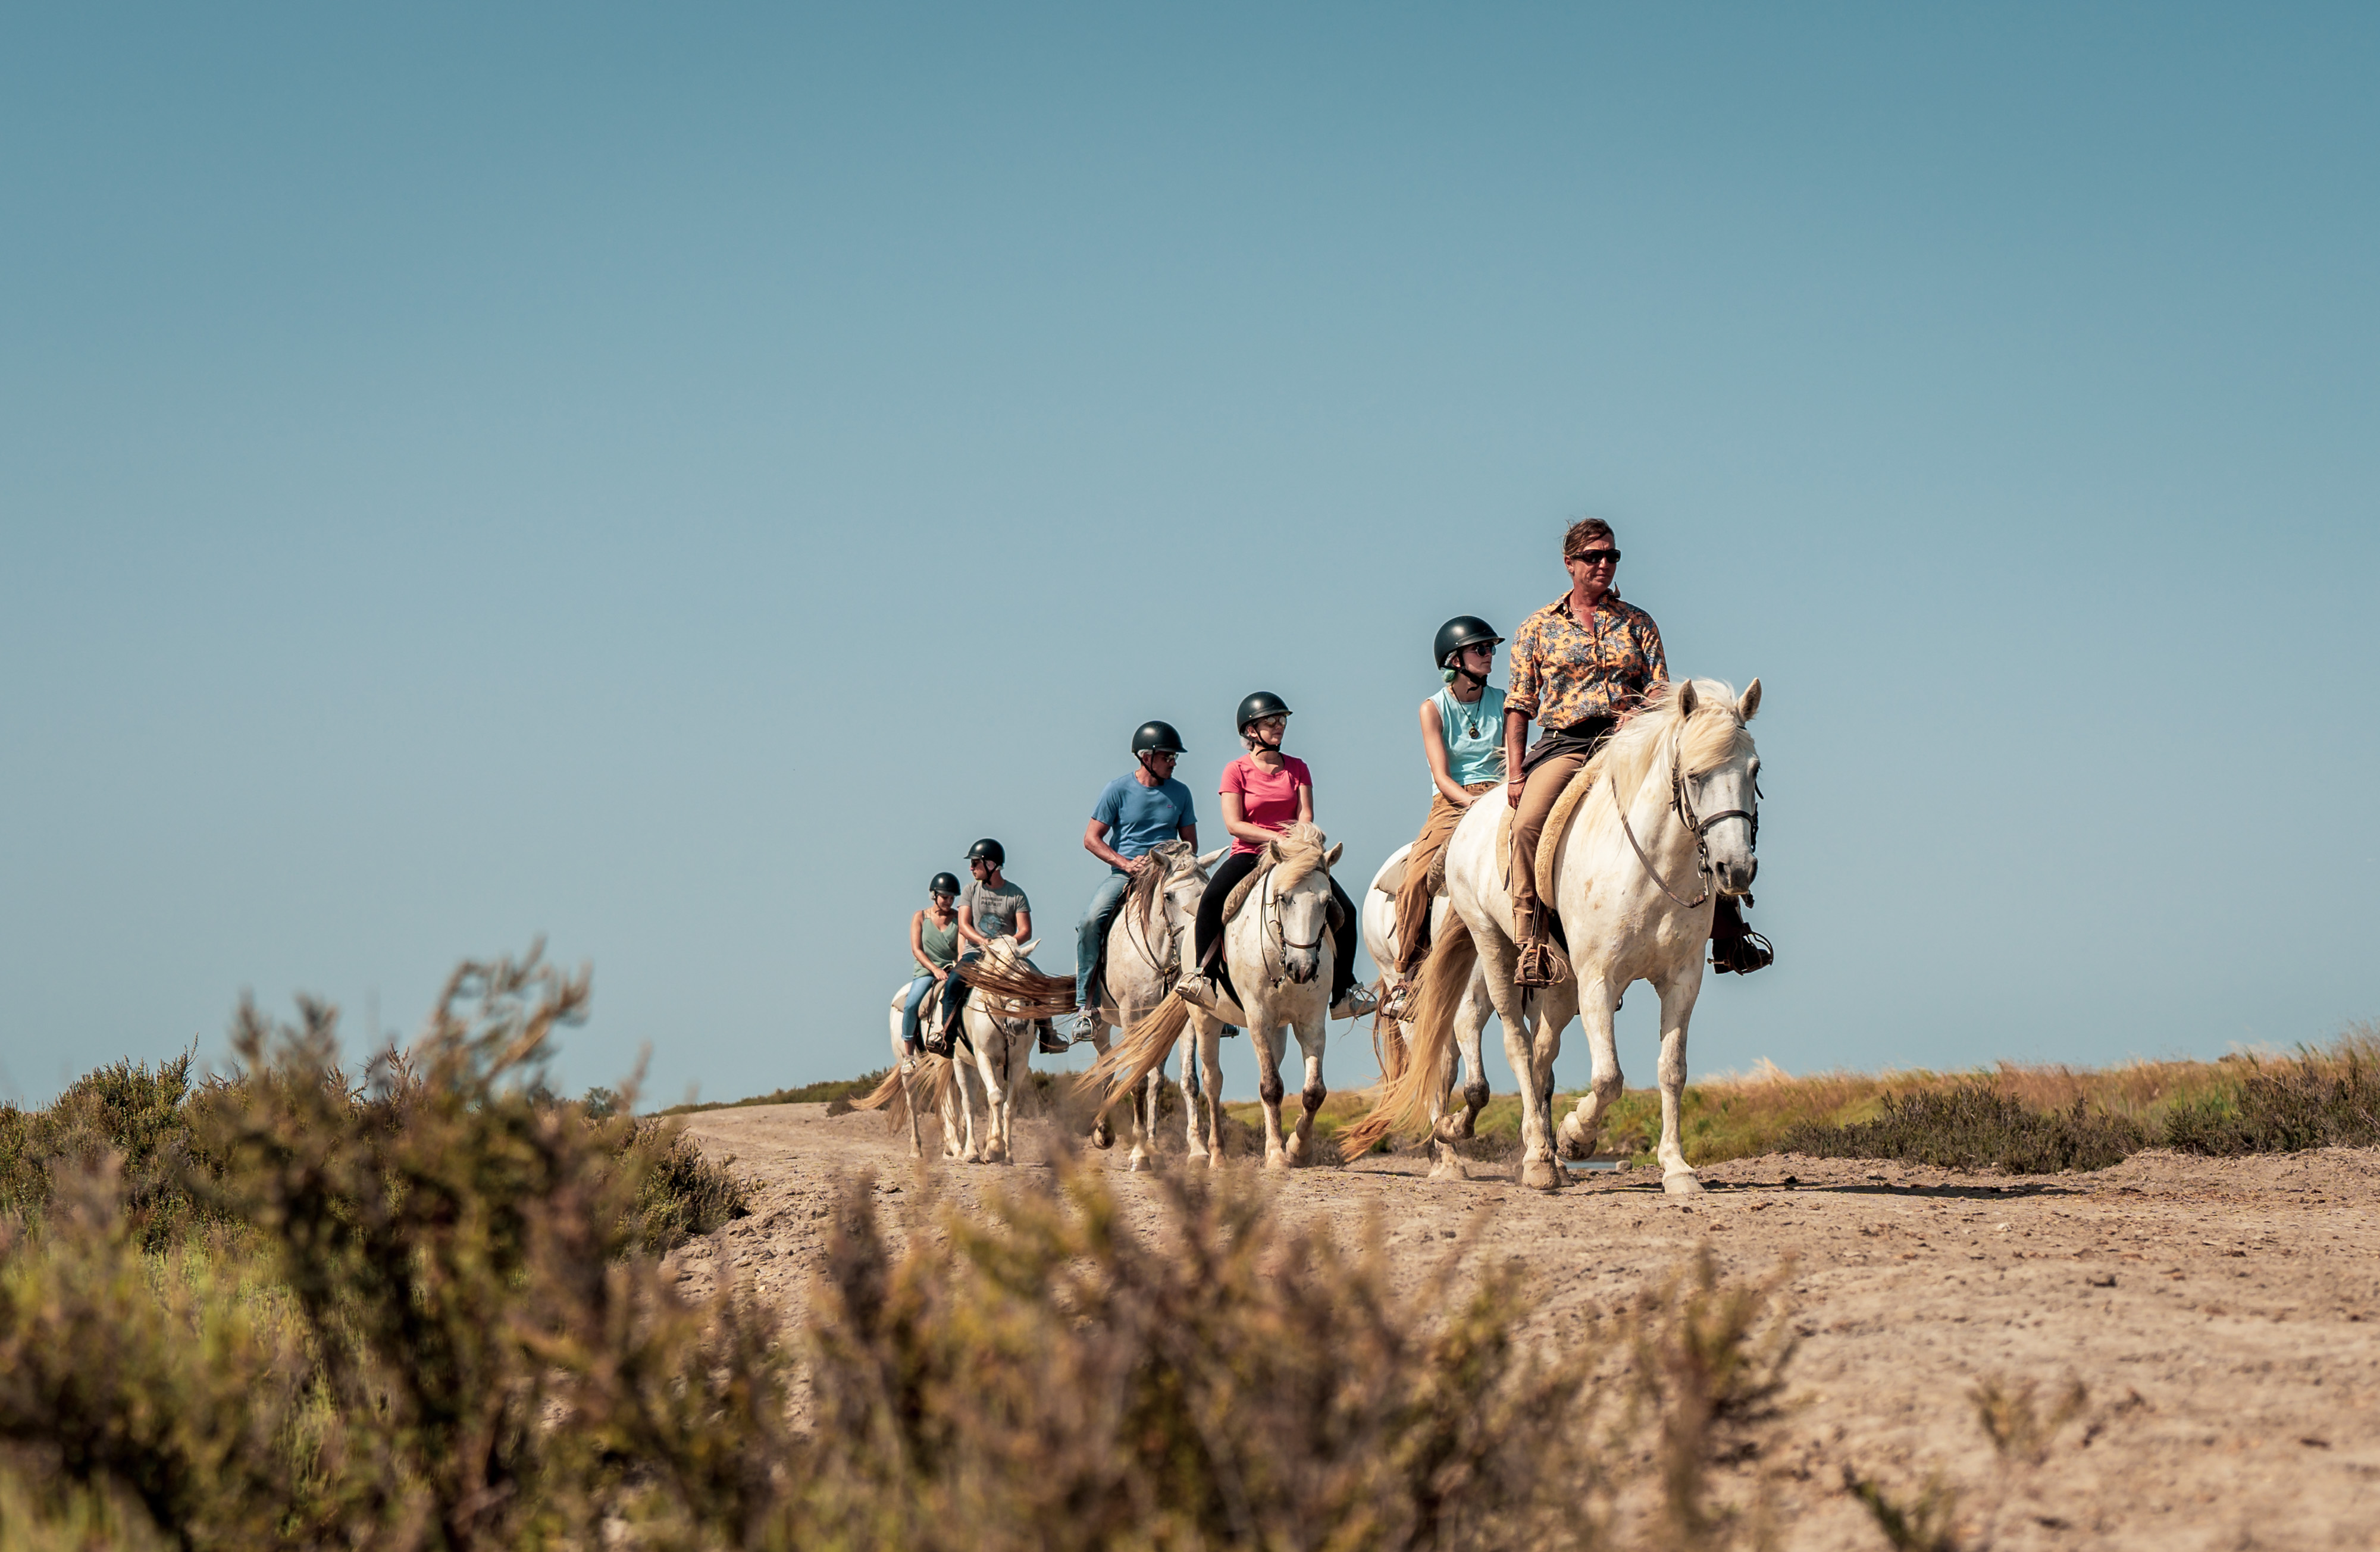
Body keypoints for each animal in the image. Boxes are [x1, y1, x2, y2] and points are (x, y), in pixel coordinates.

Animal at [1075, 841, 1230, 1171]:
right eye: (1169, 896)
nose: (1194, 946)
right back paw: (1106, 1133)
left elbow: (1187, 1081)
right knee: (1107, 1067)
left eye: (1206, 891)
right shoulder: (1132, 1017)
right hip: (1102, 1024)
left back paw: (1154, 1145)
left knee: (1155, 1078)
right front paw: (1138, 1154)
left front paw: (1197, 1151)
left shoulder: (1184, 1020)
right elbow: (1135, 1082)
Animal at [1094, 823, 1344, 1171]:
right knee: (1211, 1081)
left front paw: (1297, 1149)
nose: (1303, 969)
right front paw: (1278, 1155)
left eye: (1326, 901)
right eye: (1283, 899)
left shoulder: (1311, 1020)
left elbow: (1313, 1092)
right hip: (1199, 1019)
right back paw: (1215, 1153)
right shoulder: (1257, 1017)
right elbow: (1270, 1086)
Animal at [1344, 678, 1761, 1195]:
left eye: (1754, 770)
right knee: (1504, 1046)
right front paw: (1575, 1136)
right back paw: (1507, 1156)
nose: (1736, 869)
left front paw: (1677, 1168)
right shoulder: (1599, 979)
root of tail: (1470, 819)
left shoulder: (1681, 982)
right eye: (1697, 776)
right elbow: (1608, 1077)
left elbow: (1672, 1071)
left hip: (1556, 983)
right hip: (1489, 953)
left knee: (1536, 1055)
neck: (1650, 866)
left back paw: (1534, 1152)